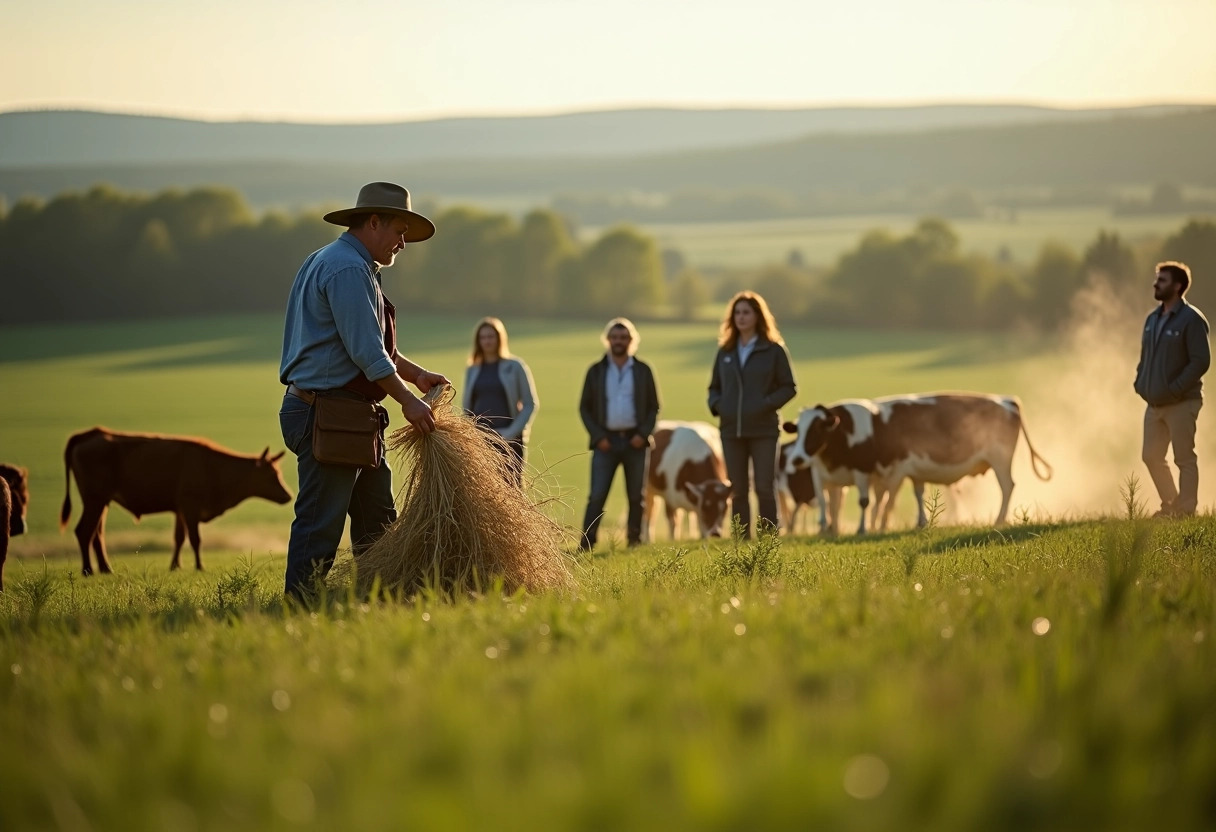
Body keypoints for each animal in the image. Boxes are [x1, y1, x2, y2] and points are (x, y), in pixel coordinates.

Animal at [61, 425, 291, 574]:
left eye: (278, 472)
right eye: (271, 475)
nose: (288, 496)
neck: (213, 467)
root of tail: (92, 433)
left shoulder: (180, 509)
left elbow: (179, 538)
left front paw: (175, 566)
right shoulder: (190, 506)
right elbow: (195, 539)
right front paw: (199, 566)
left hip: (102, 502)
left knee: (97, 534)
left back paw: (105, 568)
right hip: (94, 499)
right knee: (84, 531)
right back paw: (88, 570)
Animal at [783, 394, 1050, 532]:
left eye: (816, 430)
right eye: (798, 431)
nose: (797, 459)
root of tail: (1007, 401)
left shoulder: (876, 471)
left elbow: (873, 502)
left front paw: (867, 528)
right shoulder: (829, 475)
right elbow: (834, 505)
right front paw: (831, 530)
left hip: (1000, 459)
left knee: (1007, 487)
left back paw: (999, 519)